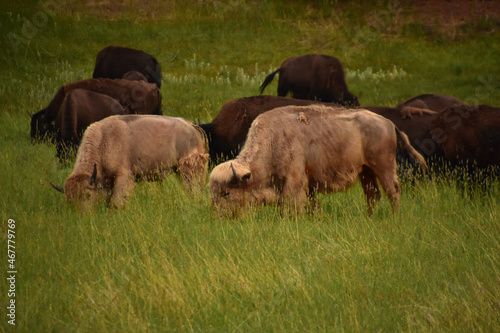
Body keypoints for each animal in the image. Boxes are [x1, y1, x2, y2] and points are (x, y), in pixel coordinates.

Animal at [53, 114, 210, 208]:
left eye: (87, 195)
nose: (81, 215)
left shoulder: (123, 177)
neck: (103, 140)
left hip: (188, 170)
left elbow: (116, 202)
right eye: (69, 199)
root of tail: (193, 127)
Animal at [209, 105, 428, 217]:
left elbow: (291, 204)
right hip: (366, 172)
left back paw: (394, 217)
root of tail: (388, 123)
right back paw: (369, 218)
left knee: (393, 191)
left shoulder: (294, 182)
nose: (219, 216)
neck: (273, 139)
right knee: (373, 195)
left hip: (384, 167)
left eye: (226, 193)